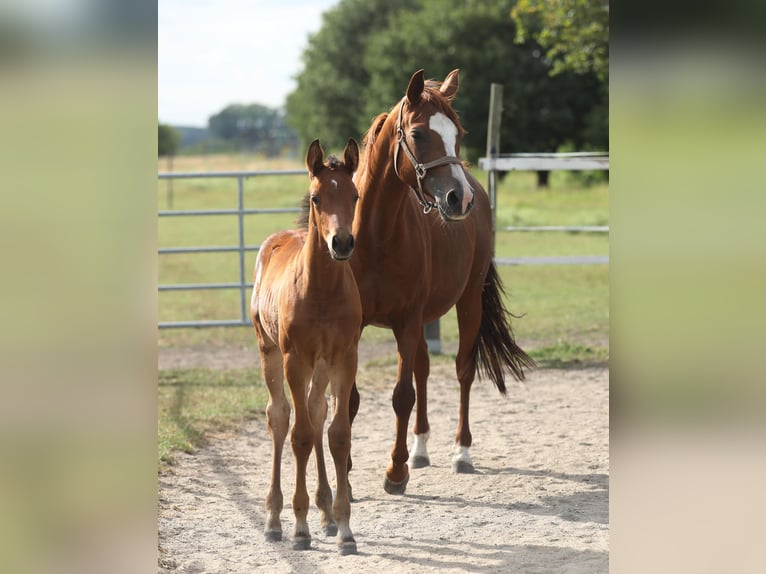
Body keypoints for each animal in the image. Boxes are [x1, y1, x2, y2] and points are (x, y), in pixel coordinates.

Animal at [250, 138, 362, 554]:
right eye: (316, 198)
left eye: (355, 195)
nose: (341, 242)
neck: (323, 291)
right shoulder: (294, 360)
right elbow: (297, 435)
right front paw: (299, 528)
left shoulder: (344, 358)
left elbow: (337, 434)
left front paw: (344, 529)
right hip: (268, 351)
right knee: (280, 417)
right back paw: (273, 519)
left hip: (322, 365)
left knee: (315, 413)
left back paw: (326, 513)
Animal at [349, 69, 536, 494]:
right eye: (418, 134)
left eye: (459, 133)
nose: (458, 198)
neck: (376, 237)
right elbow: (347, 398)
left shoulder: (406, 321)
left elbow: (402, 396)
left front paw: (395, 472)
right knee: (423, 369)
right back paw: (420, 450)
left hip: (468, 303)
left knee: (462, 371)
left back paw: (460, 453)